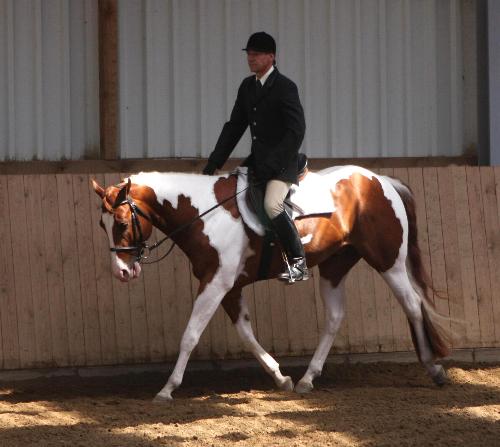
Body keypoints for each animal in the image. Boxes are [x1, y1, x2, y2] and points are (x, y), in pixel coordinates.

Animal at [92, 165, 452, 402]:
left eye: (121, 223)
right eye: (101, 224)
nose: (122, 272)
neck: (204, 213)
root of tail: (380, 181)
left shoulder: (216, 282)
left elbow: (190, 335)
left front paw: (167, 389)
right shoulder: (230, 285)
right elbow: (246, 334)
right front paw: (281, 378)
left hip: (388, 262)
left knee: (412, 305)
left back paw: (434, 369)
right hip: (335, 266)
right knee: (335, 317)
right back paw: (308, 379)